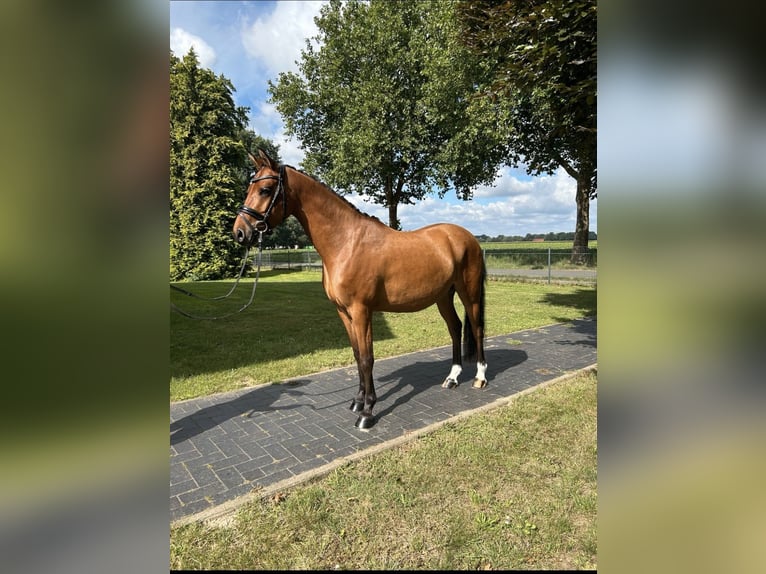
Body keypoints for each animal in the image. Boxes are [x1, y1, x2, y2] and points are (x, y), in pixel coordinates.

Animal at [231, 151, 488, 430]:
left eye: (265, 190)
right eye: (249, 188)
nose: (240, 232)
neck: (346, 242)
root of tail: (467, 238)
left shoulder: (361, 310)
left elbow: (367, 358)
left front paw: (367, 412)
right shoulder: (344, 312)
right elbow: (356, 354)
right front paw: (357, 400)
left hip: (469, 293)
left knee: (476, 328)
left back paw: (480, 377)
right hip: (443, 296)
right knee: (455, 328)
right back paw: (452, 378)